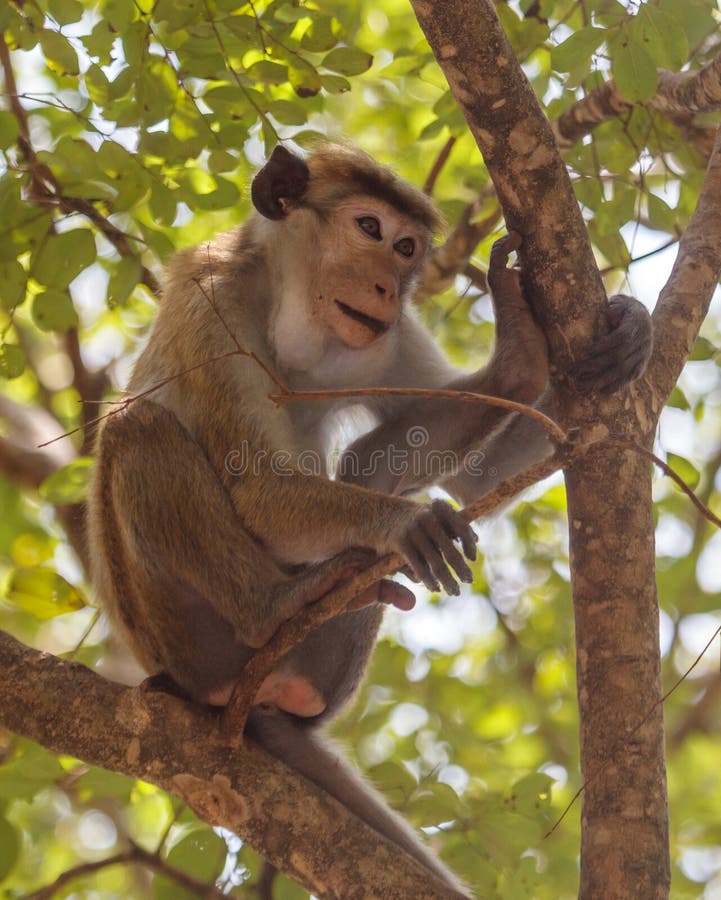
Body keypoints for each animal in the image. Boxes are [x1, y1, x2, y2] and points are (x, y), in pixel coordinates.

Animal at [87, 142, 653, 895]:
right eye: (369, 229)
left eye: (407, 247)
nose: (386, 286)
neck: (288, 310)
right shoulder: (215, 303)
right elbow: (256, 489)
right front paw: (400, 525)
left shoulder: (387, 338)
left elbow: (471, 476)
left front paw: (537, 350)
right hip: (179, 636)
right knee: (136, 429)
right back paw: (277, 604)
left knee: (360, 464)